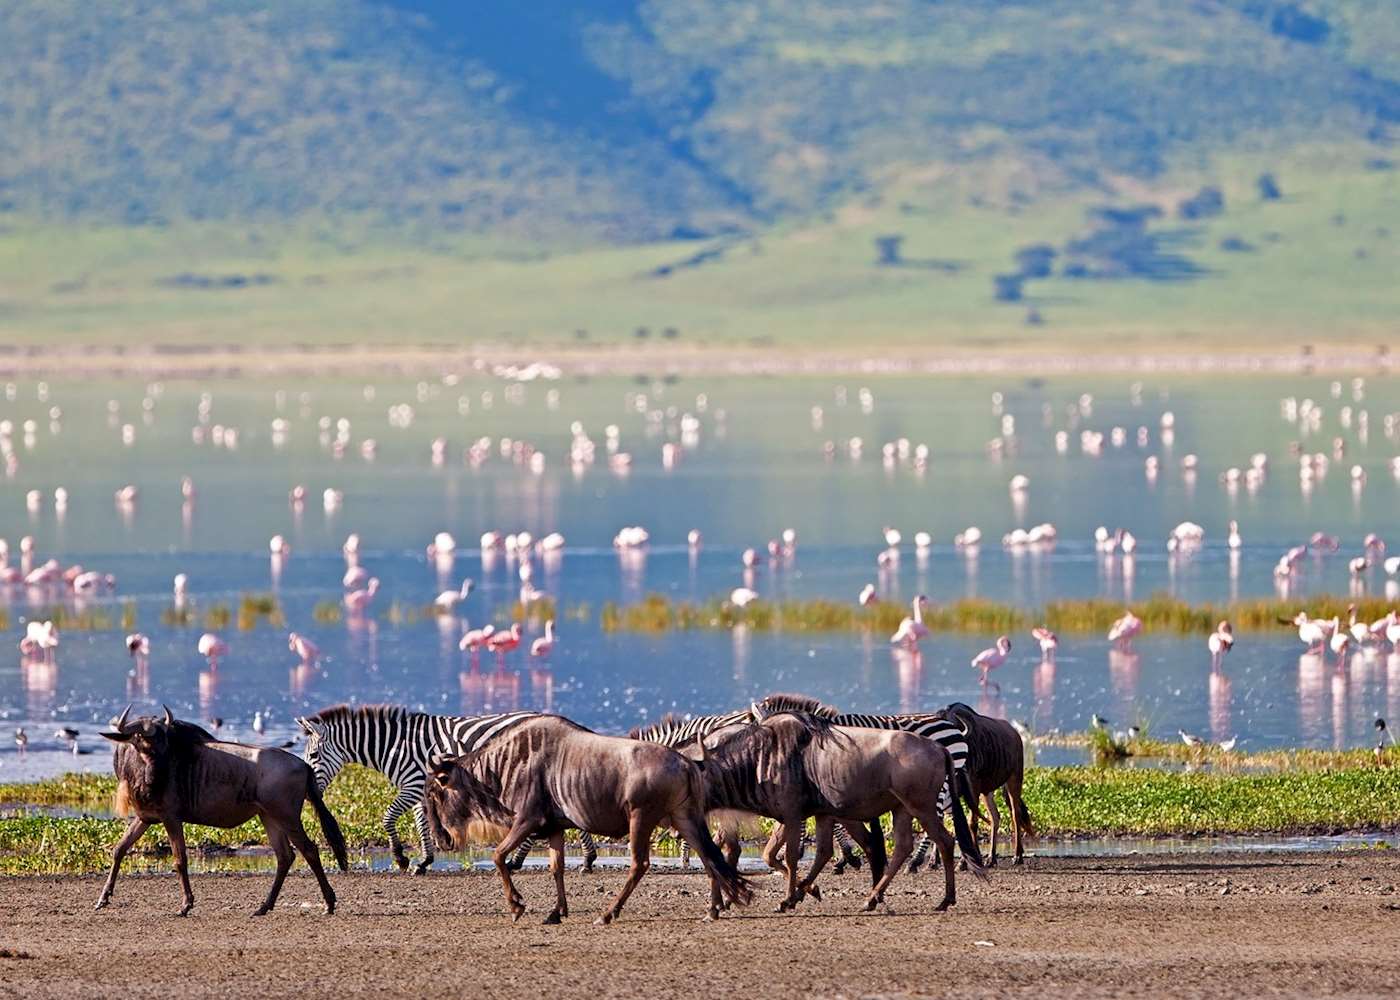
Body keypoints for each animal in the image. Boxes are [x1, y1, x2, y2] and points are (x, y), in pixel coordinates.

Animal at [292, 700, 599, 873]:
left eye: (314, 756)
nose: (308, 792)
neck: (394, 746)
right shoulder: (417, 789)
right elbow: (421, 823)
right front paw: (424, 861)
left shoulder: (413, 784)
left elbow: (388, 817)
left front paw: (401, 858)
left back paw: (579, 860)